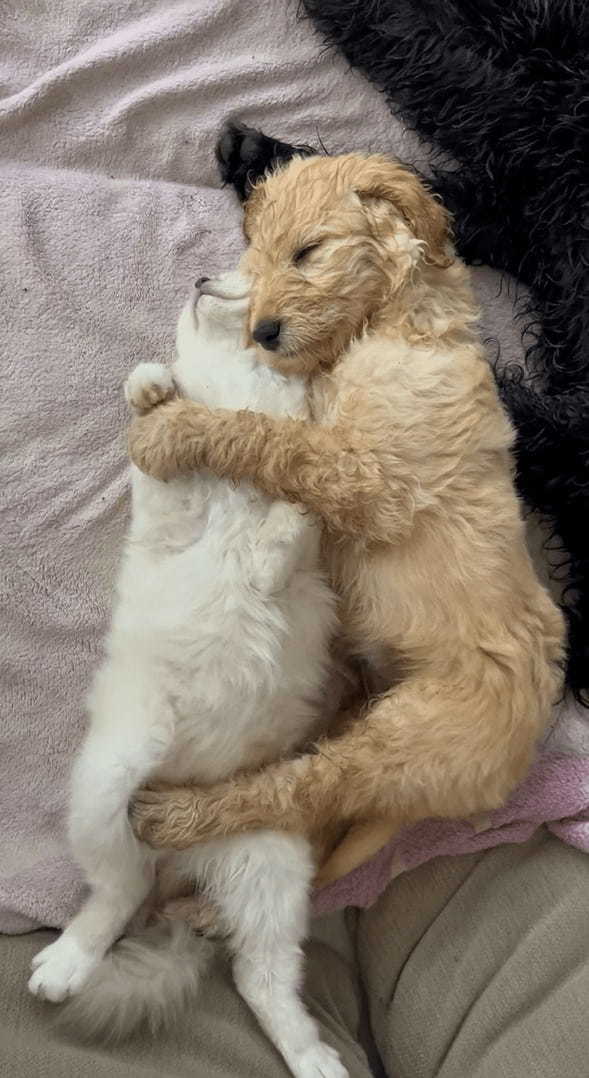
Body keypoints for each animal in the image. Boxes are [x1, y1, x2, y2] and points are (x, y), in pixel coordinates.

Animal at [27, 271, 345, 1078]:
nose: (200, 279)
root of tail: (184, 854)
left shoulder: (306, 564)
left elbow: (287, 526)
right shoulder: (167, 513)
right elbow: (164, 432)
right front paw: (152, 385)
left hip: (274, 869)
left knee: (259, 978)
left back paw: (313, 1058)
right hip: (109, 779)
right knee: (117, 893)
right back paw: (64, 965)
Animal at [129, 145, 565, 883]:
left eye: (307, 252)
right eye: (256, 261)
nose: (262, 332)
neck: (394, 326)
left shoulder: (369, 478)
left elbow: (267, 437)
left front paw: (171, 430)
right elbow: (277, 431)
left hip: (406, 741)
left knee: (297, 794)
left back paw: (175, 816)